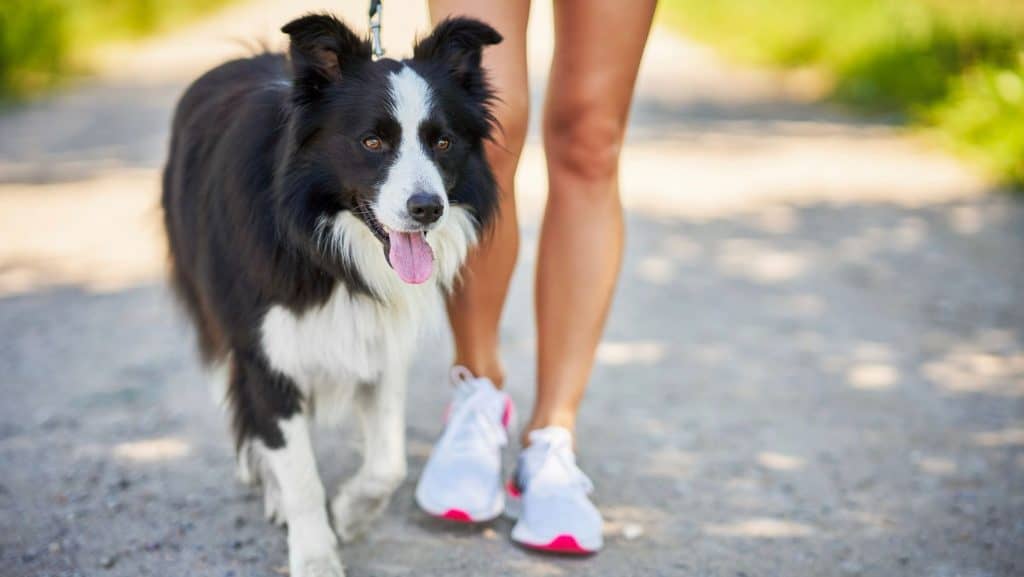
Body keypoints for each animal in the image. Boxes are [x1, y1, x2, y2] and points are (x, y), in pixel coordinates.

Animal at [160, 14, 503, 577]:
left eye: (443, 142)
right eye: (372, 142)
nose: (428, 208)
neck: (326, 245)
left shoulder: (381, 342)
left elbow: (389, 462)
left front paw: (351, 513)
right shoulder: (267, 354)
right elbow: (298, 470)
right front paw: (316, 552)